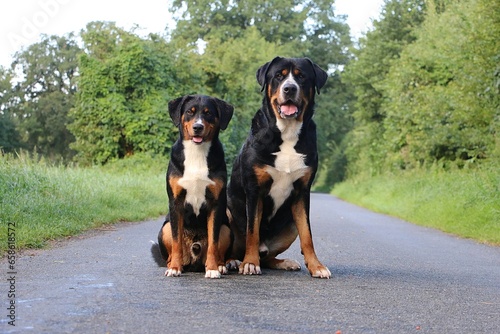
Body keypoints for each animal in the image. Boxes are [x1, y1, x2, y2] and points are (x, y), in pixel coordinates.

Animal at [150, 94, 234, 280]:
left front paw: (212, 269)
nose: (198, 127)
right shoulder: (176, 202)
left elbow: (213, 243)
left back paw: (220, 266)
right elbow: (176, 242)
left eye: (208, 113)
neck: (197, 153)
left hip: (226, 229)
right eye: (190, 111)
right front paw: (175, 268)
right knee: (173, 250)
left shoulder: (216, 204)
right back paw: (174, 265)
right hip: (165, 229)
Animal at [228, 57, 332, 280]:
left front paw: (316, 266)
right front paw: (250, 263)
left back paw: (283, 262)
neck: (288, 133)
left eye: (301, 76)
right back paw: (233, 261)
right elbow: (252, 231)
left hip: (290, 225)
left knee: (268, 257)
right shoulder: (254, 190)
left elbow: (307, 235)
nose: (289, 88)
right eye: (278, 76)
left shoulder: (302, 192)